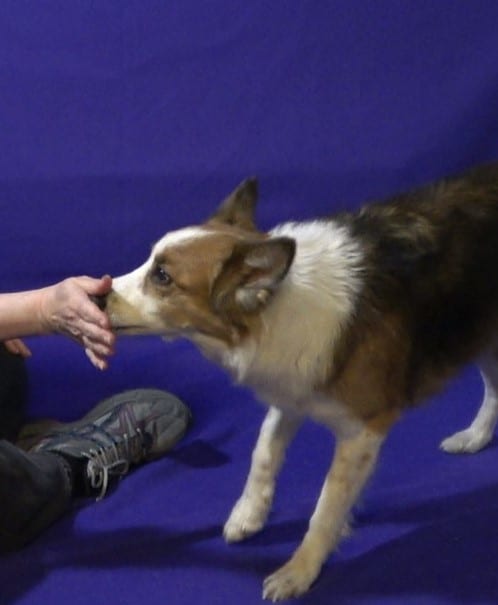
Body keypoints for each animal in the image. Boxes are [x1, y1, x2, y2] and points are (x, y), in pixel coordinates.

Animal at [106, 163, 498, 600]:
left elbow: (326, 507)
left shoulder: (364, 431)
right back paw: (476, 436)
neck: (276, 302)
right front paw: (249, 513)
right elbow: (263, 453)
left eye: (162, 276)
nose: (99, 293)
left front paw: (300, 570)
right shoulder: (291, 394)